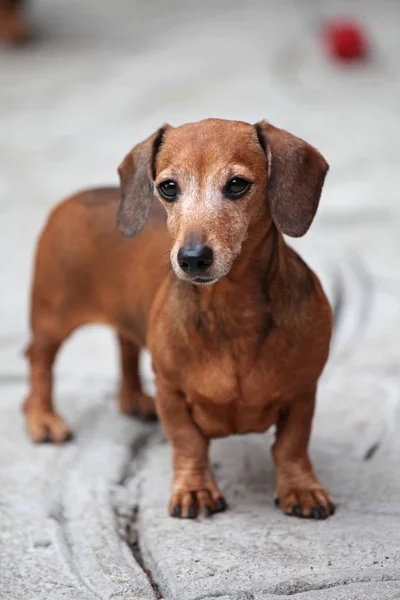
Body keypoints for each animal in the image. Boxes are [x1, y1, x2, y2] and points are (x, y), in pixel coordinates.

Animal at [24, 118, 334, 520]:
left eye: (237, 184)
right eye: (168, 187)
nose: (192, 258)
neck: (232, 311)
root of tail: (76, 197)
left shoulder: (303, 390)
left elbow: (292, 446)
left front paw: (301, 488)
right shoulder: (170, 390)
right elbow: (188, 443)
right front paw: (195, 490)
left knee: (125, 346)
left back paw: (133, 399)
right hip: (52, 318)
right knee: (39, 360)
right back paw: (42, 418)